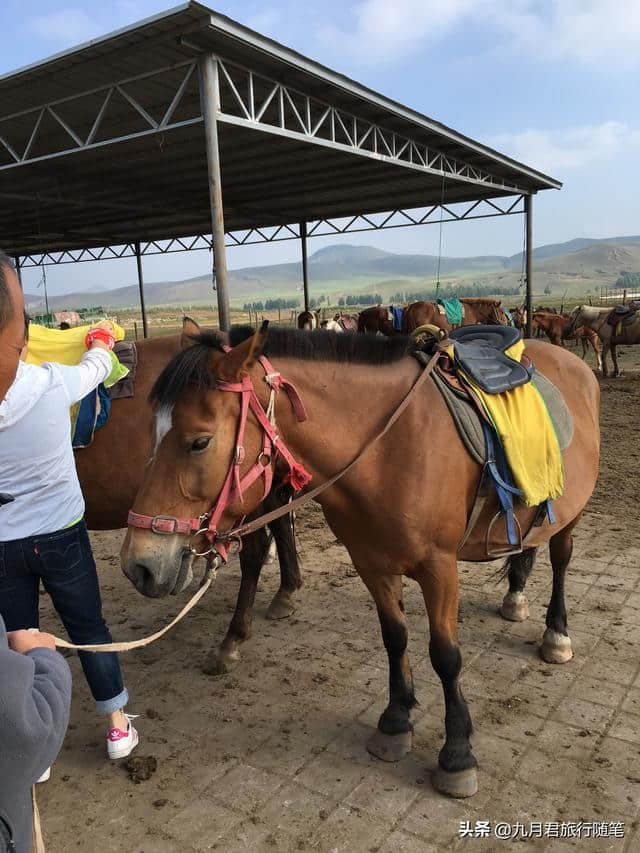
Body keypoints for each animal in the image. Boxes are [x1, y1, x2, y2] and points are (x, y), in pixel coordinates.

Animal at [122, 326, 604, 800]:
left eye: (199, 442)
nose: (138, 565)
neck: (390, 449)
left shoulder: (440, 568)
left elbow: (446, 656)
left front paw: (457, 754)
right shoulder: (371, 563)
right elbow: (395, 638)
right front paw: (396, 721)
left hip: (573, 515)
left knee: (561, 559)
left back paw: (556, 634)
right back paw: (515, 598)